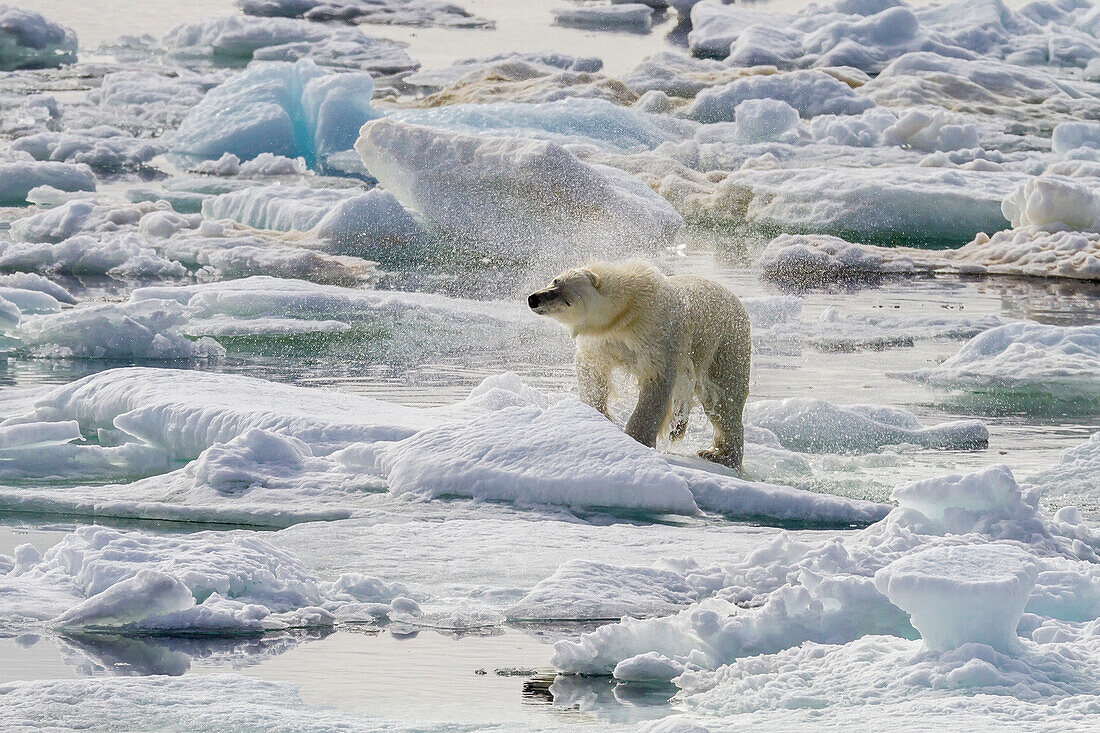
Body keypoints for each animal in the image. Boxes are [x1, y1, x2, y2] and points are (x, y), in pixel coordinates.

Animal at [528, 260, 752, 468]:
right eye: (556, 281)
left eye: (568, 301)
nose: (534, 299)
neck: (628, 306)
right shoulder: (603, 338)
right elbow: (592, 369)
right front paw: (599, 418)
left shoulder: (654, 334)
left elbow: (656, 382)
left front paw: (636, 440)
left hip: (725, 344)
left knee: (723, 397)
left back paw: (723, 456)